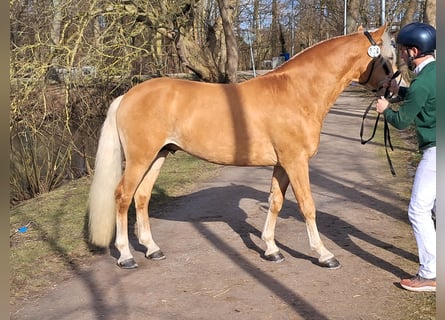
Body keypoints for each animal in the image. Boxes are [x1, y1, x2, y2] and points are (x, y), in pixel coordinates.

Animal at [88, 23, 394, 268]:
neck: (297, 92)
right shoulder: (296, 162)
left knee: (141, 197)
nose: (396, 90)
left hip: (158, 156)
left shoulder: (282, 164)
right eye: (388, 58)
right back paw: (126, 255)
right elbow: (307, 205)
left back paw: (152, 249)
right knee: (123, 196)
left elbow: (275, 202)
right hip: (140, 158)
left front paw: (271, 250)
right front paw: (324, 254)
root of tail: (127, 95)